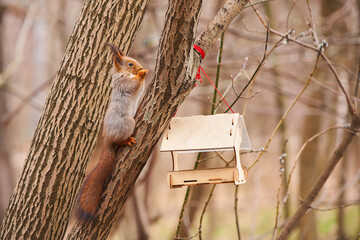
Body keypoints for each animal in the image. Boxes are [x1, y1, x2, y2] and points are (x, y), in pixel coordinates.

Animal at [76, 42, 148, 221]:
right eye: (130, 64)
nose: (140, 67)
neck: (122, 73)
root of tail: (107, 138)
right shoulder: (122, 83)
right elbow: (133, 85)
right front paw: (142, 74)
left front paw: (144, 72)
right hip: (127, 123)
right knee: (118, 141)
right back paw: (126, 140)